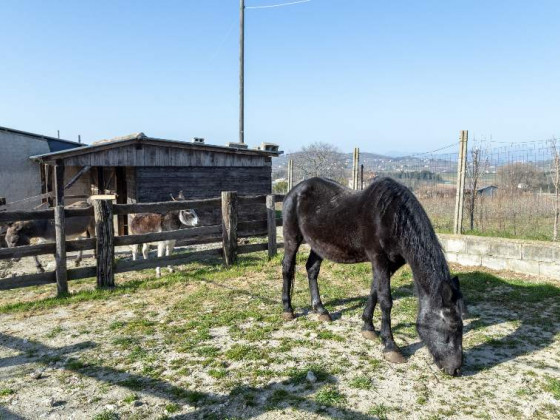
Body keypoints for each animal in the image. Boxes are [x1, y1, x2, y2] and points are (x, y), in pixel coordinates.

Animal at [282, 176, 466, 376]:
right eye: (451, 326)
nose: (455, 369)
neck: (392, 218)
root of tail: (295, 190)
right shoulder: (379, 259)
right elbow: (386, 301)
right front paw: (391, 346)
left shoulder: (391, 264)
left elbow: (374, 292)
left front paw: (368, 327)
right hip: (292, 238)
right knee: (287, 269)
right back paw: (287, 309)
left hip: (318, 245)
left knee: (312, 270)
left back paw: (320, 310)